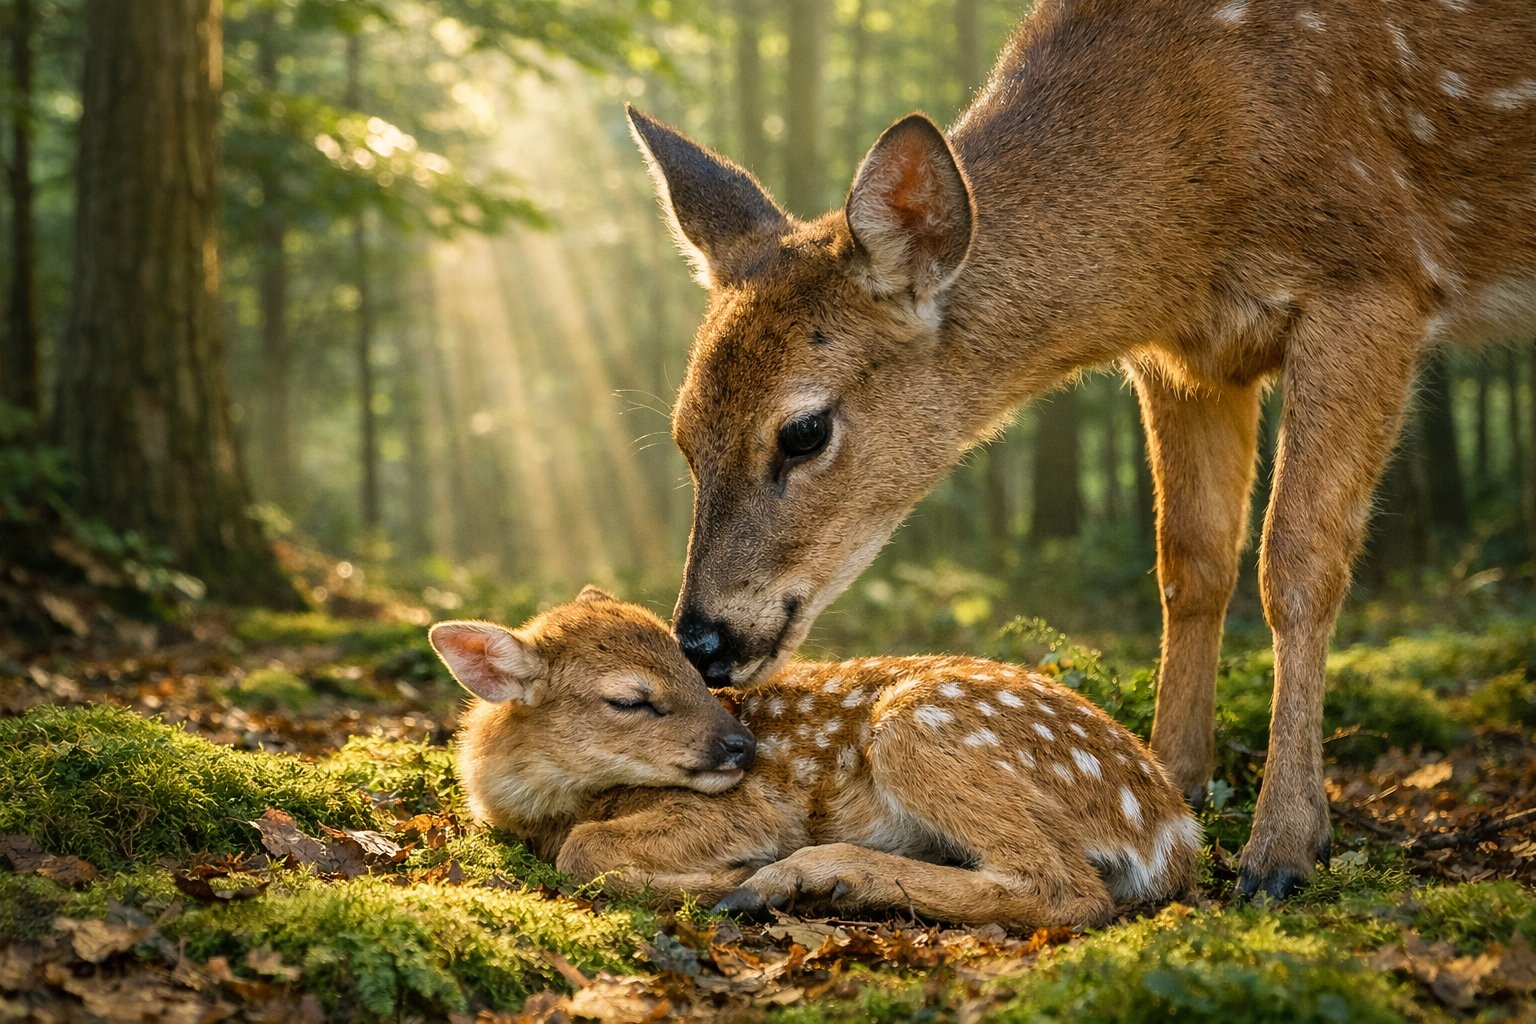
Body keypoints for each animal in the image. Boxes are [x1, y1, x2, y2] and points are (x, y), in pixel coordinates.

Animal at [432, 588, 1199, 927]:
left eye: (694, 671)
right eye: (630, 699)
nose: (742, 746)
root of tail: (1173, 828)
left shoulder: (747, 808)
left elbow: (582, 848)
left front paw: (722, 878)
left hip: (918, 728)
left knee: (1069, 892)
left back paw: (797, 880)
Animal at [625, 0, 1536, 900]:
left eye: (804, 431)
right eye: (683, 435)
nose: (701, 640)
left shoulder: (1376, 276)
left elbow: (1299, 565)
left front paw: (1282, 846)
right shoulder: (1187, 356)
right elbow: (1191, 562)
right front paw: (1170, 779)